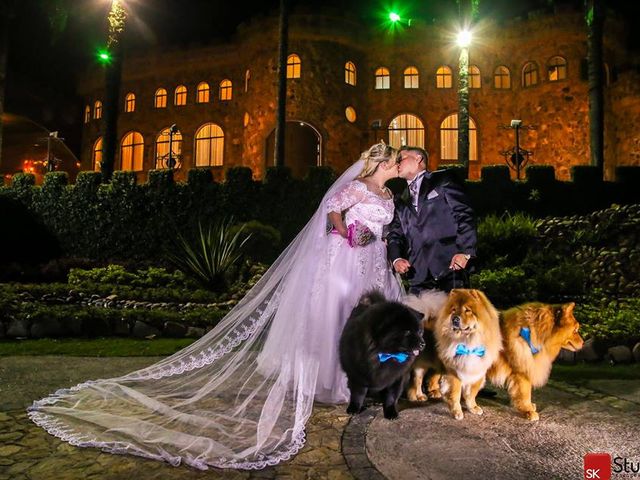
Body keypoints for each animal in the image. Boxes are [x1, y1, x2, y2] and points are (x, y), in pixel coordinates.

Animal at [340, 290, 424, 418]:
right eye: (407, 331)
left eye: (419, 332)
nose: (423, 343)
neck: (384, 353)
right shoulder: (358, 374)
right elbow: (357, 394)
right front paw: (354, 408)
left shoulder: (396, 377)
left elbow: (391, 396)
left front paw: (390, 411)